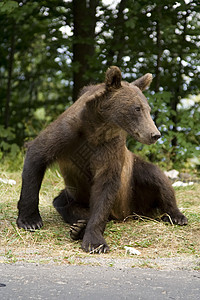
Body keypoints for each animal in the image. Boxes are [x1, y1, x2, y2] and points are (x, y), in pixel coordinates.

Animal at [17, 66, 188, 253]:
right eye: (137, 108)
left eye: (148, 109)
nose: (155, 134)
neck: (98, 127)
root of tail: (129, 212)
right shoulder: (67, 134)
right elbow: (37, 156)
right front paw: (30, 221)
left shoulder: (110, 148)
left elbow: (105, 187)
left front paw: (95, 242)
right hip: (74, 194)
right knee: (64, 204)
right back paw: (78, 226)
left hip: (133, 178)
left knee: (156, 177)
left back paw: (177, 216)